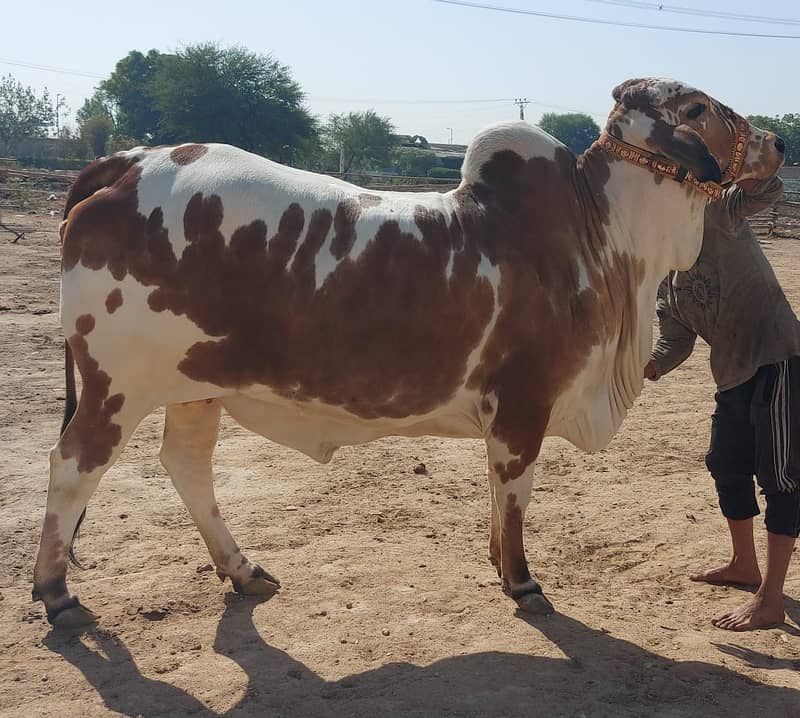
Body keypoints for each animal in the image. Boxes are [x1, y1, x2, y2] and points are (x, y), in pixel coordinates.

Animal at [32, 80, 780, 632]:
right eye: (697, 107)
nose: (775, 141)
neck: (604, 235)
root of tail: (127, 163)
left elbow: (497, 494)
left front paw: (497, 564)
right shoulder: (524, 405)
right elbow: (515, 495)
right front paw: (521, 580)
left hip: (194, 386)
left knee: (186, 467)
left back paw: (241, 570)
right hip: (116, 387)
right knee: (72, 467)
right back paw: (56, 592)